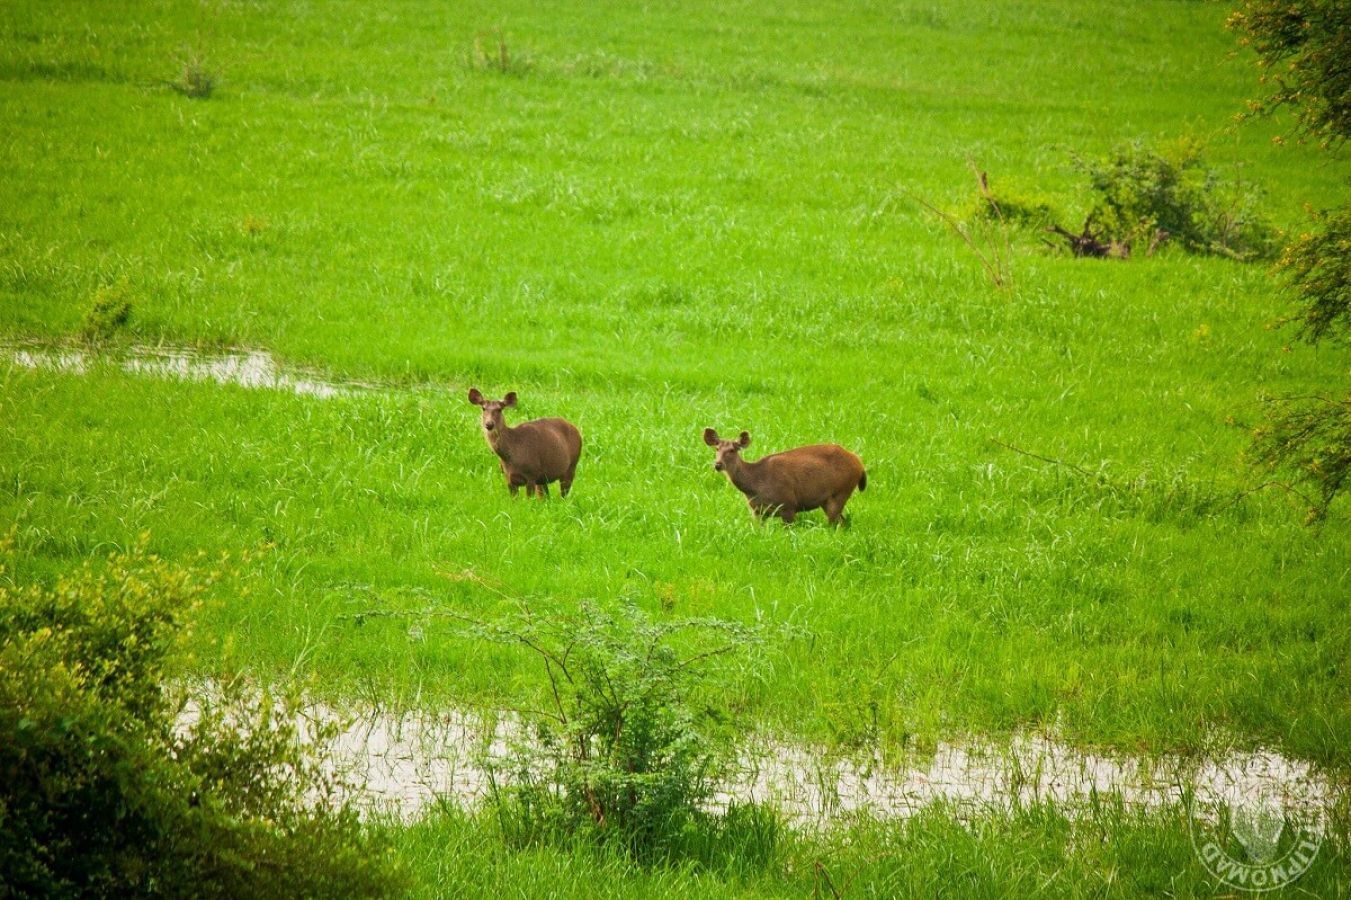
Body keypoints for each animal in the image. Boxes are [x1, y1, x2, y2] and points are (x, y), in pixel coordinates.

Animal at [707, 427, 864, 527]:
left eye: (732, 450)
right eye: (717, 449)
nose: (718, 464)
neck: (755, 485)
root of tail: (860, 464)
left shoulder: (788, 504)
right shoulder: (756, 511)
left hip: (841, 491)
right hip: (828, 500)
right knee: (843, 522)